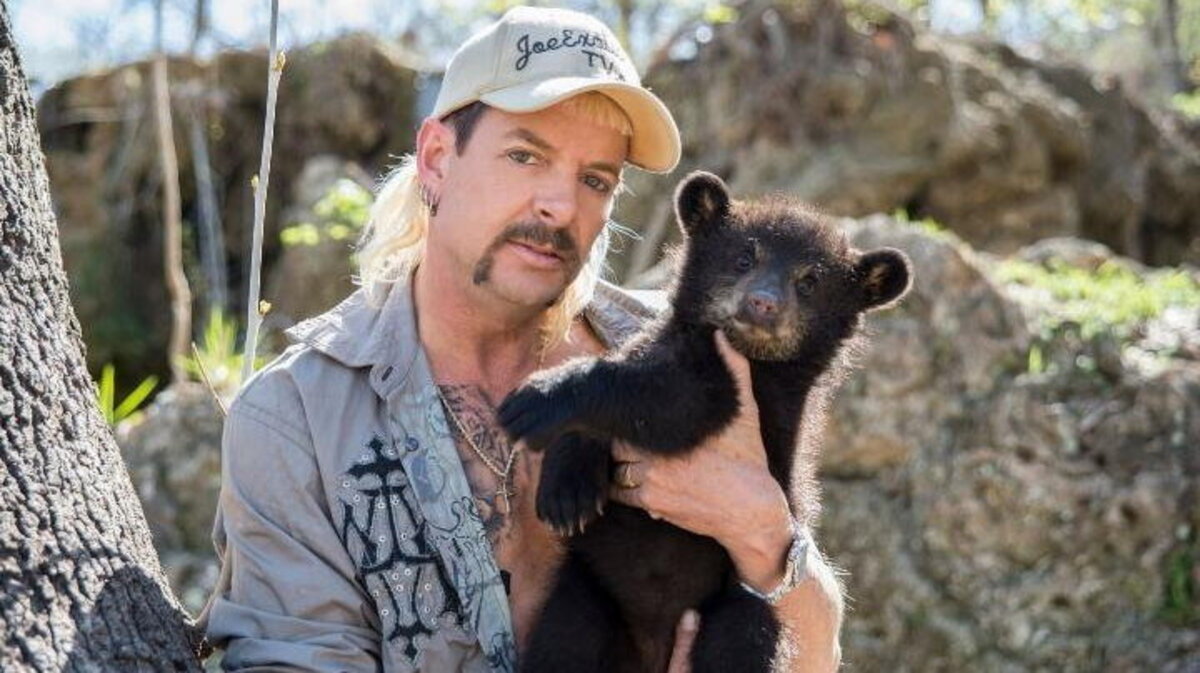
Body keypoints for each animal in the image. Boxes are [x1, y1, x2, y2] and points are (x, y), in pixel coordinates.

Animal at [498, 171, 912, 673]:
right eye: (744, 257)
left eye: (810, 281)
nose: (763, 303)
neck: (745, 352)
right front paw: (567, 493)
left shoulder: (763, 397)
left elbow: (673, 402)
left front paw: (541, 397)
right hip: (585, 590)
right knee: (564, 640)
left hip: (735, 603)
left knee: (738, 643)